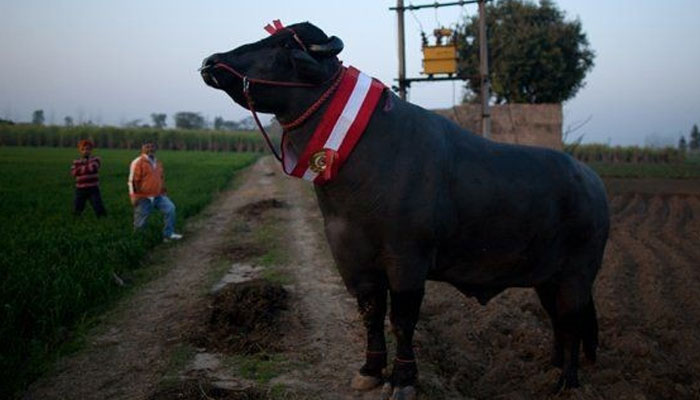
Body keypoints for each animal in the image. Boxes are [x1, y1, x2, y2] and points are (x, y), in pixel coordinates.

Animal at [201, 22, 608, 400]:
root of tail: (593, 181)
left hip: (577, 274)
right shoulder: (352, 258)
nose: (211, 62)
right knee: (557, 321)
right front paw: (369, 370)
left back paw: (567, 382)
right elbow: (370, 313)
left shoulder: (407, 259)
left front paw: (403, 379)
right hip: (547, 278)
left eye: (285, 44)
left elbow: (402, 320)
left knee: (572, 322)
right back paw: (552, 368)